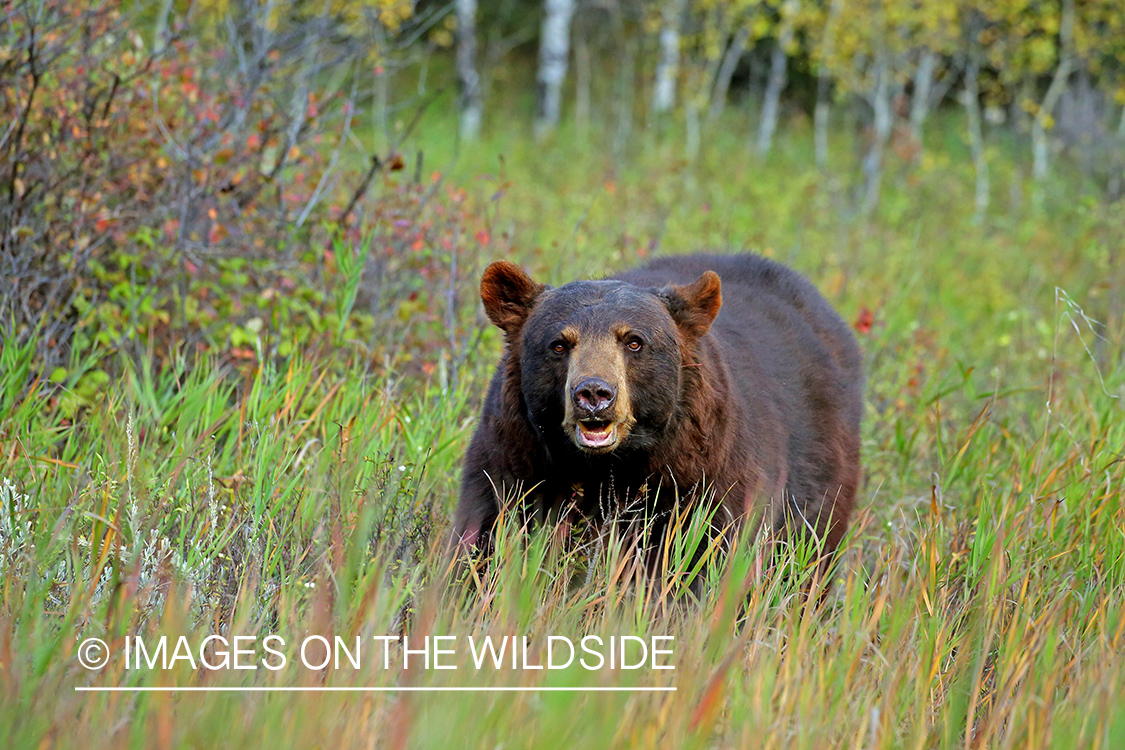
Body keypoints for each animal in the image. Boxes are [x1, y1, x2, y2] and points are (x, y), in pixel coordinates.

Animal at [452, 251, 864, 568]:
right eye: (559, 344)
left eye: (634, 341)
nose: (594, 393)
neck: (610, 467)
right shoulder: (516, 461)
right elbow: (487, 536)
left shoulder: (708, 476)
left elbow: (705, 556)